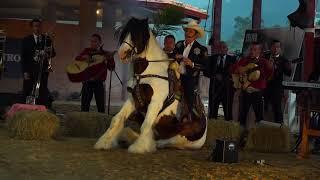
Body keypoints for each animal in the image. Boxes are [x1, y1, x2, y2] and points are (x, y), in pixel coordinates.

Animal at [94, 17, 208, 153]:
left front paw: (138, 147)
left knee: (161, 142)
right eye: (125, 33)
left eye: (138, 35)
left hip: (177, 139)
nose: (122, 53)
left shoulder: (155, 101)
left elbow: (146, 125)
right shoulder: (132, 98)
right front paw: (104, 142)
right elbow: (117, 119)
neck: (148, 71)